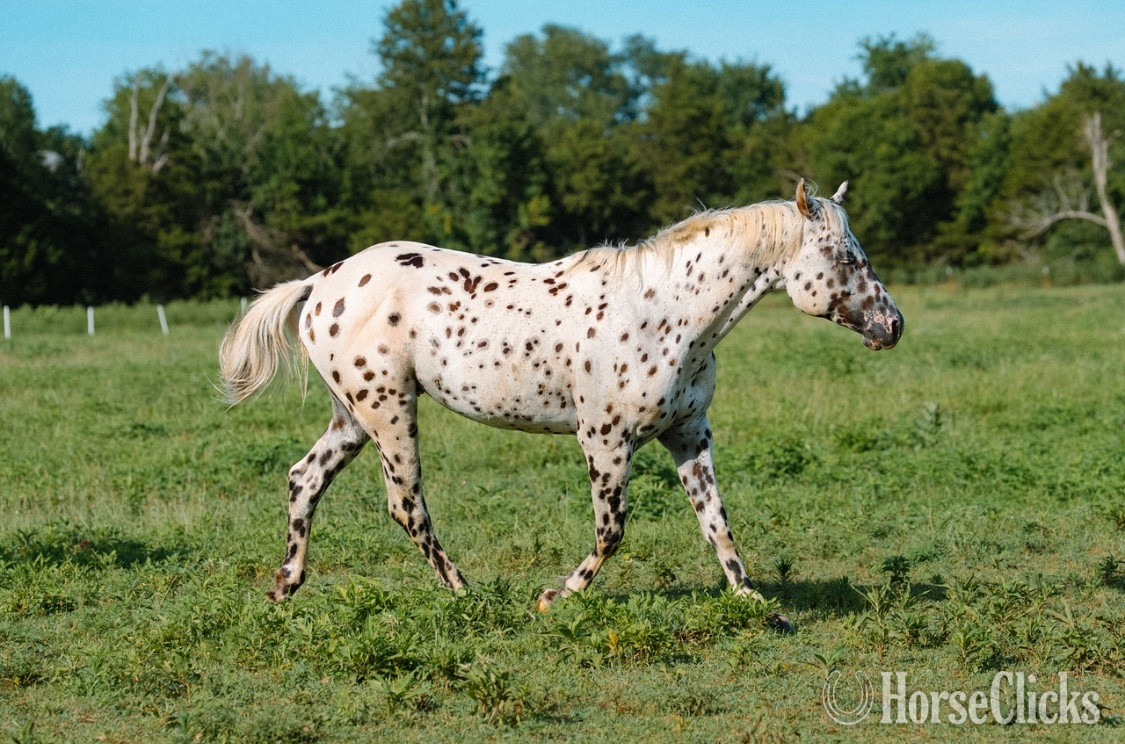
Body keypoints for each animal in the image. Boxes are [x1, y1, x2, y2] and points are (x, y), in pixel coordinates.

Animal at [219, 179, 903, 629]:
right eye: (846, 256)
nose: (892, 325)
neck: (667, 313)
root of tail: (319, 282)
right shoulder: (605, 440)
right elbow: (612, 532)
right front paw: (554, 598)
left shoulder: (688, 434)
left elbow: (716, 522)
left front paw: (757, 603)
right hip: (389, 411)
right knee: (405, 505)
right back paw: (466, 593)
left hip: (352, 416)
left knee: (304, 479)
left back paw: (284, 587)